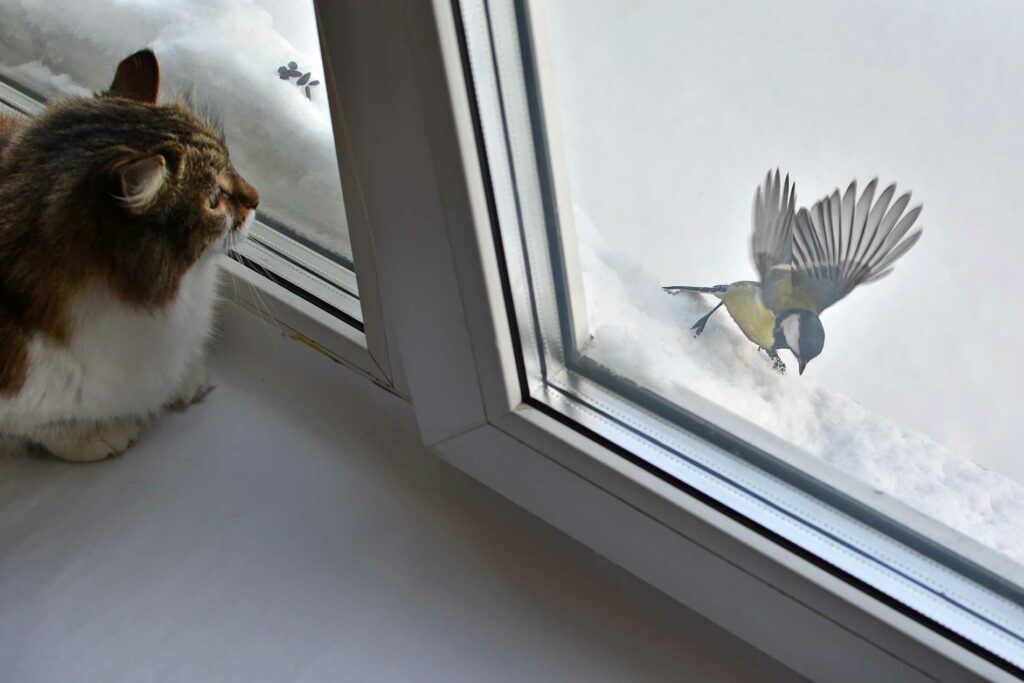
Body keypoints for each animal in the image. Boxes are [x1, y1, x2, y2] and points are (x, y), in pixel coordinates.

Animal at [0, 50, 260, 462]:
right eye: (214, 200)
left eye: (230, 160)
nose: (257, 198)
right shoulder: (18, 397)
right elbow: (46, 426)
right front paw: (101, 434)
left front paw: (186, 379)